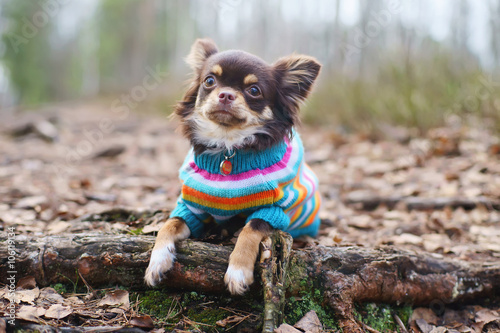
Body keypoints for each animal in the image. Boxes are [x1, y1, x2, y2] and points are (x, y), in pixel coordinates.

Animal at [146, 38, 322, 294]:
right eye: (209, 81)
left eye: (254, 90)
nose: (226, 94)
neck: (227, 148)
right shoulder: (190, 208)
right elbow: (168, 225)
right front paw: (157, 261)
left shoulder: (273, 211)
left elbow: (250, 230)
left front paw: (238, 272)